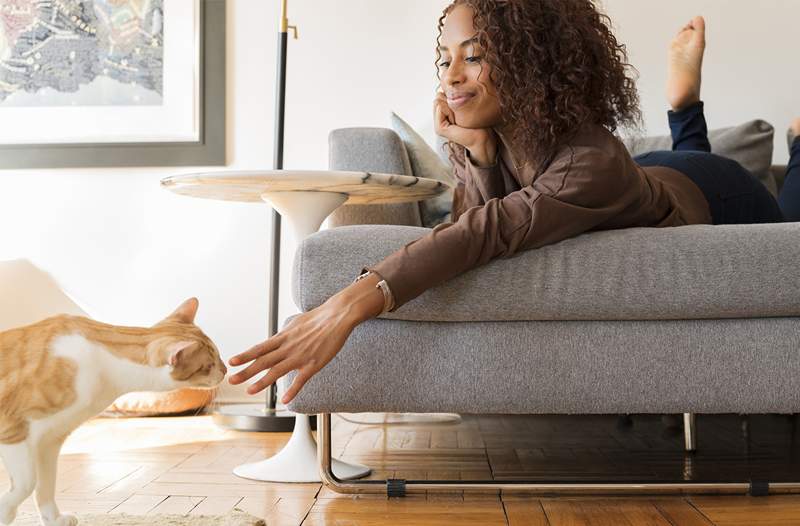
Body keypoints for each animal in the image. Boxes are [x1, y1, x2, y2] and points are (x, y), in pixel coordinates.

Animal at [0, 300, 227, 524]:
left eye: (219, 356)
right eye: (208, 365)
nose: (225, 371)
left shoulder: (49, 441)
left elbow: (46, 485)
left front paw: (54, 519)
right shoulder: (14, 430)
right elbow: (27, 482)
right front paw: (6, 512)